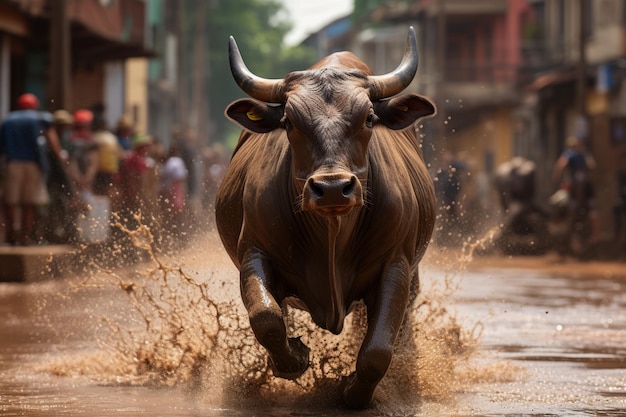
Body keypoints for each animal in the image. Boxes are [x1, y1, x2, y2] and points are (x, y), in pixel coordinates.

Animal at [214, 27, 434, 408]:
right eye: (289, 122)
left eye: (369, 118)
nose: (332, 188)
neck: (332, 234)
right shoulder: (253, 253)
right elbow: (267, 318)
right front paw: (294, 359)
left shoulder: (397, 264)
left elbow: (378, 350)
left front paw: (352, 392)